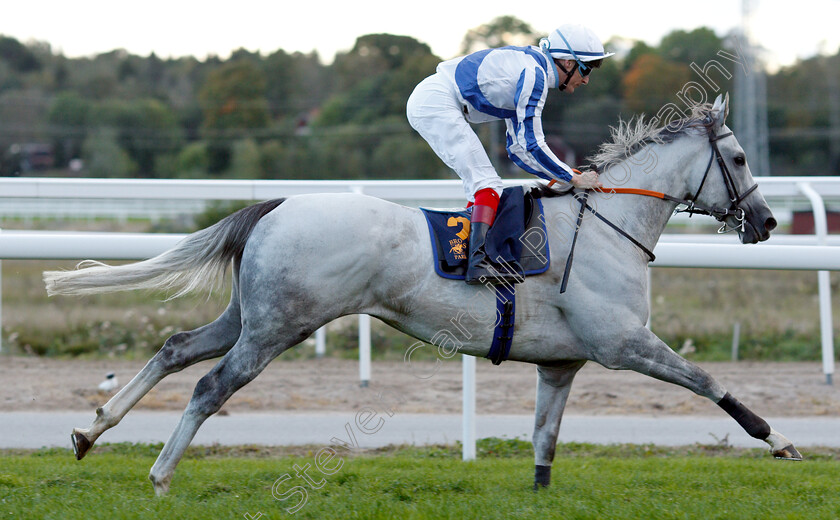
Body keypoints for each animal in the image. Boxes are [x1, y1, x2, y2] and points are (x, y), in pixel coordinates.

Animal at [41, 93, 800, 496]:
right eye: (739, 159)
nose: (766, 222)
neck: (606, 225)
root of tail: (279, 203)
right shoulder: (623, 344)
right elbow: (707, 381)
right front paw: (781, 440)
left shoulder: (562, 363)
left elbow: (545, 438)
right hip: (278, 327)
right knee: (210, 387)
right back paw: (161, 473)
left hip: (248, 316)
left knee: (175, 349)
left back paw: (89, 429)